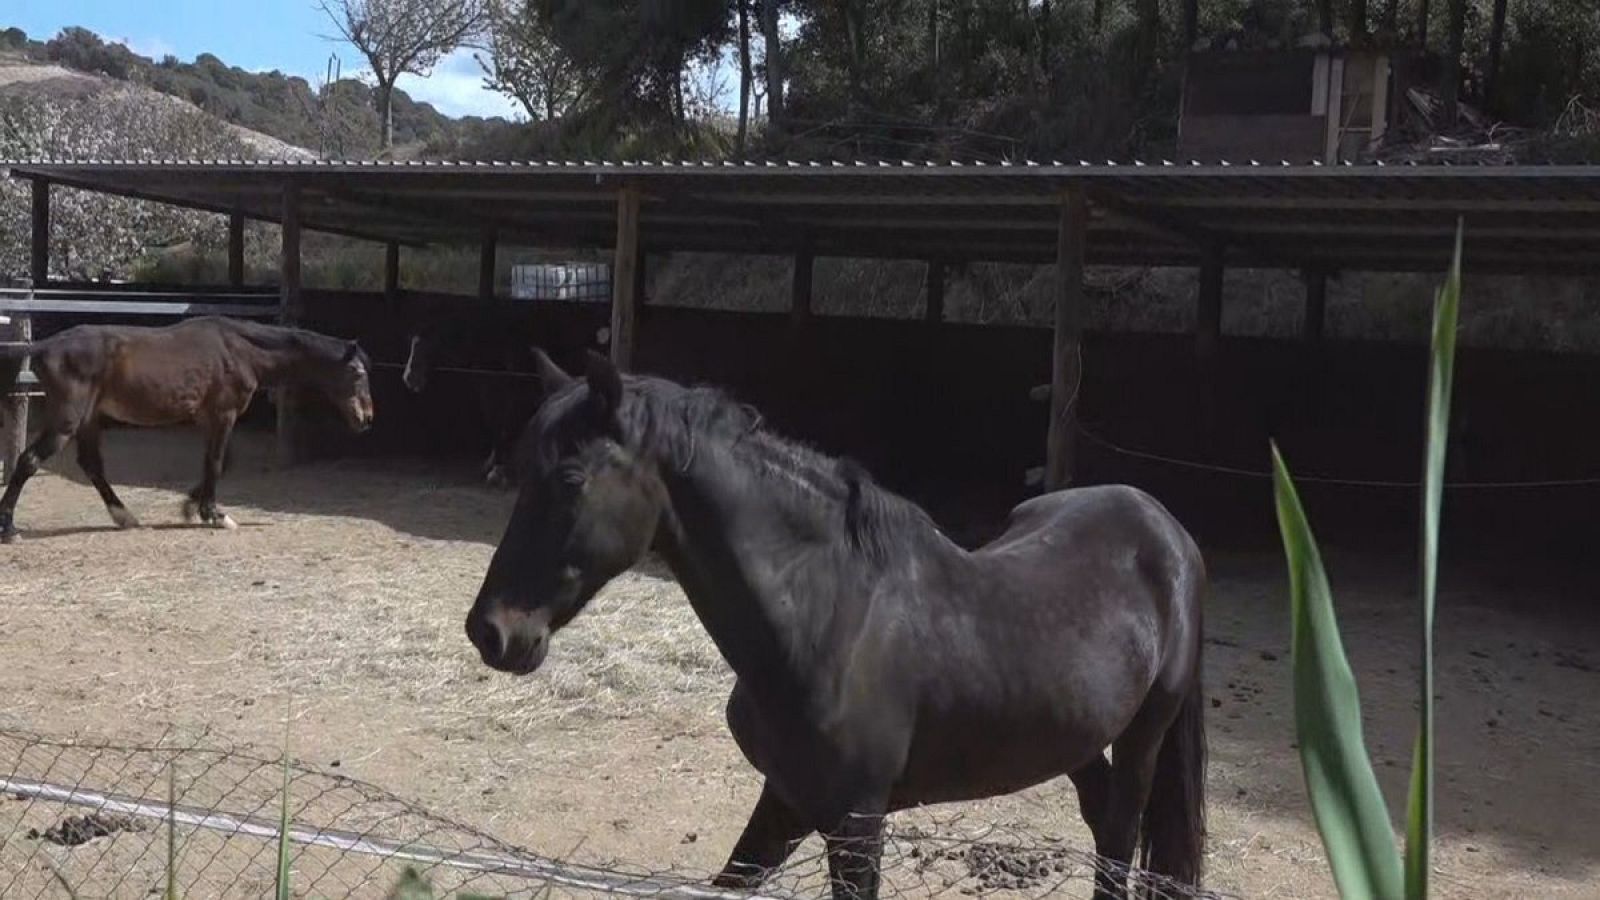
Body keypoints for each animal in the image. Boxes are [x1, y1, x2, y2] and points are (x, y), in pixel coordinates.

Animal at [0, 315, 371, 538]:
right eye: (357, 373)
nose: (367, 418)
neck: (238, 349)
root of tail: (44, 346)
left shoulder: (209, 419)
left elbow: (218, 462)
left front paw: (192, 506)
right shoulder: (223, 415)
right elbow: (217, 463)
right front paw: (216, 515)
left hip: (89, 421)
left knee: (91, 465)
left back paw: (125, 517)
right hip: (67, 421)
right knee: (29, 461)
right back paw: (9, 528)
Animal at [467, 350, 1203, 896]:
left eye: (570, 479)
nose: (491, 632)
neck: (826, 625)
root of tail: (1165, 528)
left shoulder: (855, 825)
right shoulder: (786, 801)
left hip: (1144, 734)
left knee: (1119, 839)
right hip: (1076, 737)